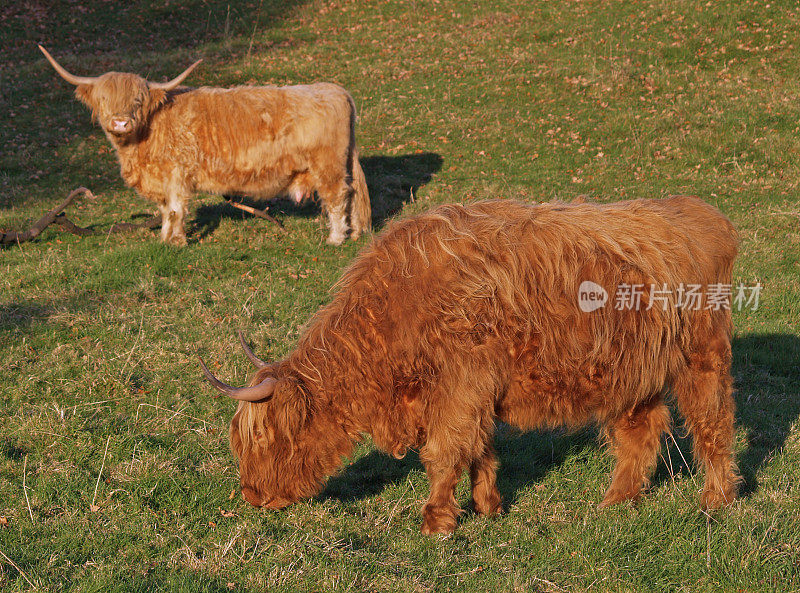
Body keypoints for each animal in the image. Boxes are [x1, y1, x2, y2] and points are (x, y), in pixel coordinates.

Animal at [39, 43, 370, 243]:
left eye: (138, 100)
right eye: (104, 99)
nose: (120, 122)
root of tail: (335, 90)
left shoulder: (176, 175)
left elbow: (175, 209)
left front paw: (176, 242)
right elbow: (164, 211)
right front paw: (165, 238)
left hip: (327, 166)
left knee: (337, 197)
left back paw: (335, 239)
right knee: (351, 194)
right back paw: (353, 235)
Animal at [200, 197, 736, 536]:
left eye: (264, 437)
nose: (252, 496)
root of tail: (705, 215)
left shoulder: (461, 388)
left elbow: (445, 453)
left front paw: (437, 522)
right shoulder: (475, 393)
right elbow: (482, 450)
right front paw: (488, 507)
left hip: (702, 356)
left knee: (712, 424)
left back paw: (716, 500)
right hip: (632, 375)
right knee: (643, 431)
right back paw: (617, 501)